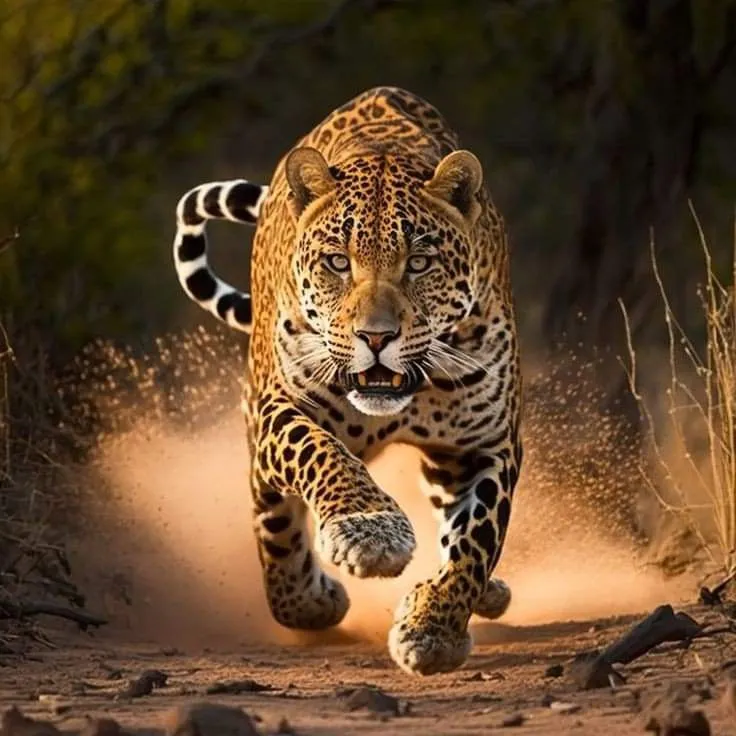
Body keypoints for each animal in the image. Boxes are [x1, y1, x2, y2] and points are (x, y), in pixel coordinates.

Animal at [172, 87, 522, 675]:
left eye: (419, 263)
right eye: (338, 262)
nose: (375, 337)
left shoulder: (486, 445)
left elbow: (477, 539)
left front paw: (433, 629)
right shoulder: (282, 407)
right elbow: (321, 453)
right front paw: (370, 530)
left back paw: (486, 592)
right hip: (256, 421)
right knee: (273, 519)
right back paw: (307, 598)